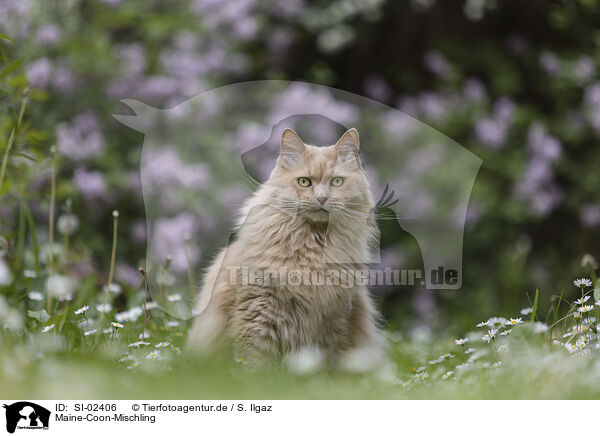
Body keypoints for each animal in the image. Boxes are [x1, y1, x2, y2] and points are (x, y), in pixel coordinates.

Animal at [188, 127, 390, 372]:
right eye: (304, 182)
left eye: (336, 182)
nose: (321, 198)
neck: (313, 246)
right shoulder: (257, 316)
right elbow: (253, 368)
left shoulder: (333, 323)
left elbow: (323, 367)